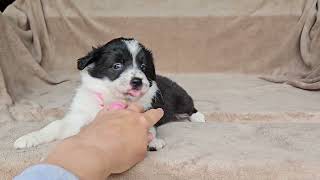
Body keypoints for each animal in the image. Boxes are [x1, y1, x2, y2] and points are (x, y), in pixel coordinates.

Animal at [13, 37, 205, 150]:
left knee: (190, 106)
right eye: (116, 66)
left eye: (143, 67)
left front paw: (153, 141)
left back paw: (198, 116)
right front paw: (29, 138)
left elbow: (149, 125)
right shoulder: (78, 116)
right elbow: (54, 126)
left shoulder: (147, 110)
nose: (137, 81)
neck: (112, 98)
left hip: (181, 98)